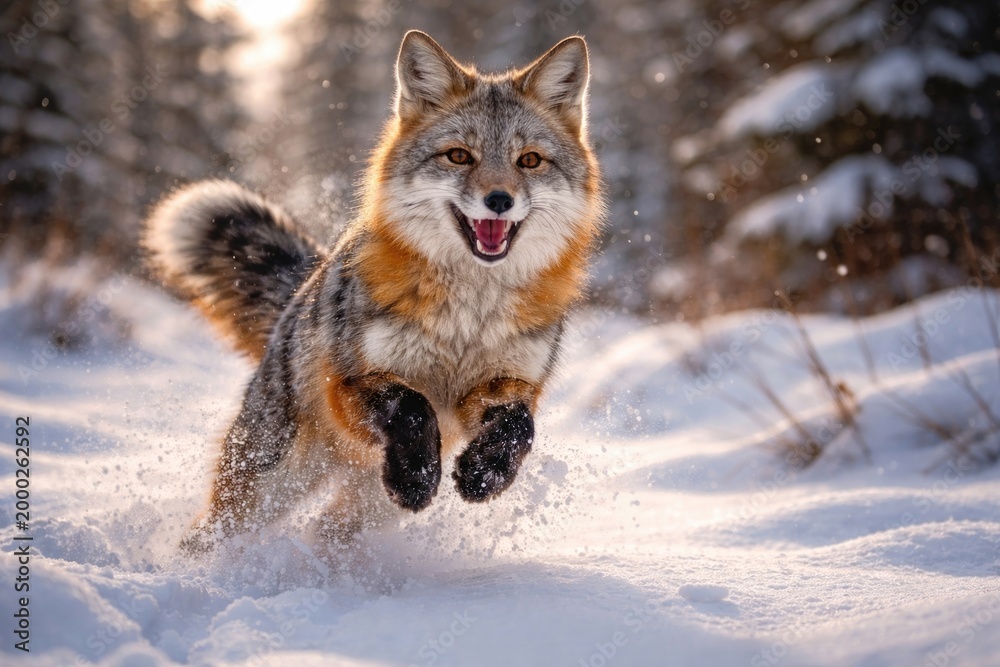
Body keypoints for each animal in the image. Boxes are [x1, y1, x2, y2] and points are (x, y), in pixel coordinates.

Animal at [143, 30, 604, 549]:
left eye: (529, 161)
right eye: (459, 156)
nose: (499, 201)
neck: (466, 323)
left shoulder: (506, 386)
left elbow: (519, 427)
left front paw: (485, 473)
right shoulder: (350, 382)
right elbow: (412, 406)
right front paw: (417, 477)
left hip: (365, 511)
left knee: (326, 533)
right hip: (262, 491)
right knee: (210, 535)